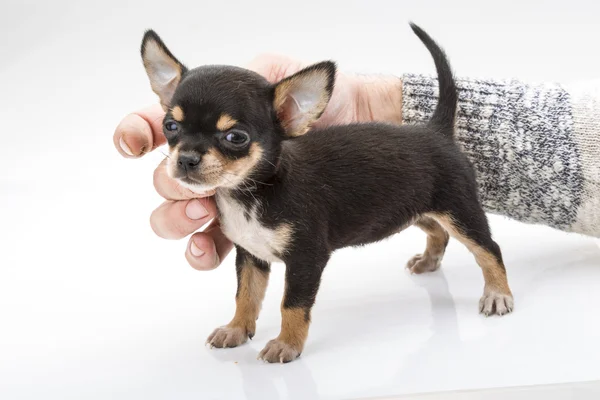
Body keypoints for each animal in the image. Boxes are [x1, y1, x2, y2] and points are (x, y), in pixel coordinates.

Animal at [141, 24, 516, 362]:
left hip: (458, 209)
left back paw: (498, 293)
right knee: (439, 232)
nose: (186, 158)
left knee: (488, 248)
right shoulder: (250, 256)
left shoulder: (307, 258)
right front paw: (236, 329)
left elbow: (292, 304)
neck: (251, 193)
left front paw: (287, 345)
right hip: (412, 210)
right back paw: (429, 260)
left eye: (235, 137)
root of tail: (436, 130)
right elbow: (245, 295)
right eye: (170, 127)